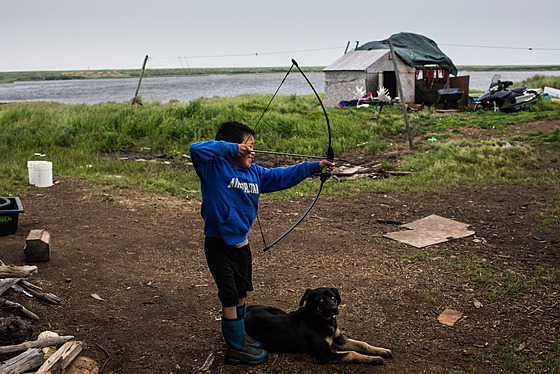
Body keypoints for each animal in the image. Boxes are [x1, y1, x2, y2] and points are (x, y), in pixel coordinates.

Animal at [245, 288, 394, 364]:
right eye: (321, 300)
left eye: (333, 297)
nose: (335, 309)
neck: (321, 320)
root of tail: (248, 310)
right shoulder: (323, 355)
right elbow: (352, 353)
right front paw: (374, 359)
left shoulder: (338, 340)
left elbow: (363, 344)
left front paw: (382, 351)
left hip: (280, 311)